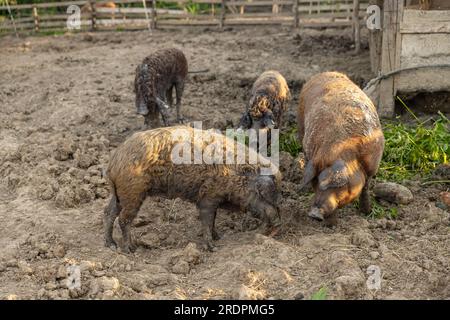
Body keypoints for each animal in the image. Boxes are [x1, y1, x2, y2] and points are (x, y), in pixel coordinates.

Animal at [104, 125, 282, 252]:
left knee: (109, 212)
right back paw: (130, 249)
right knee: (123, 219)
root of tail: (114, 161)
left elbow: (213, 220)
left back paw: (111, 245)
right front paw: (212, 247)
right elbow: (207, 220)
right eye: (261, 194)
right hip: (133, 192)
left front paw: (218, 237)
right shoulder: (208, 196)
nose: (278, 221)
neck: (233, 172)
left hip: (119, 194)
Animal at [298, 72, 384, 222]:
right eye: (315, 183)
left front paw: (366, 212)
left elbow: (366, 187)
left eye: (337, 186)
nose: (314, 213)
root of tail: (325, 73)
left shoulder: (373, 164)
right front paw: (332, 224)